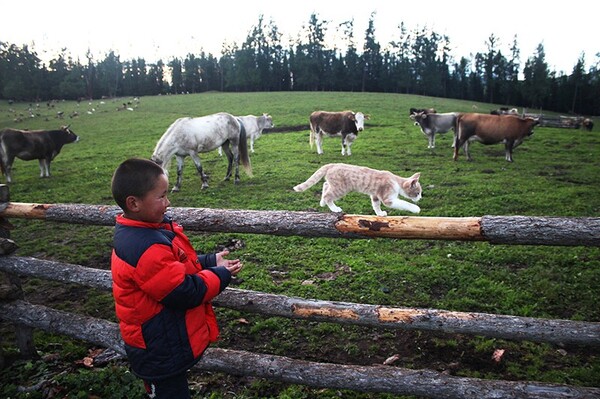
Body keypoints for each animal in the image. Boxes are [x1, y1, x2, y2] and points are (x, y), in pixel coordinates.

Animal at [294, 163, 422, 217]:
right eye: (418, 193)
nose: (420, 198)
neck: (396, 181)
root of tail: (332, 164)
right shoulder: (388, 199)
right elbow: (405, 203)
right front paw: (416, 209)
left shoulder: (375, 196)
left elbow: (376, 206)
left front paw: (380, 214)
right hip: (341, 188)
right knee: (328, 196)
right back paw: (335, 208)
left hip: (335, 185)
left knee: (325, 185)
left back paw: (321, 202)